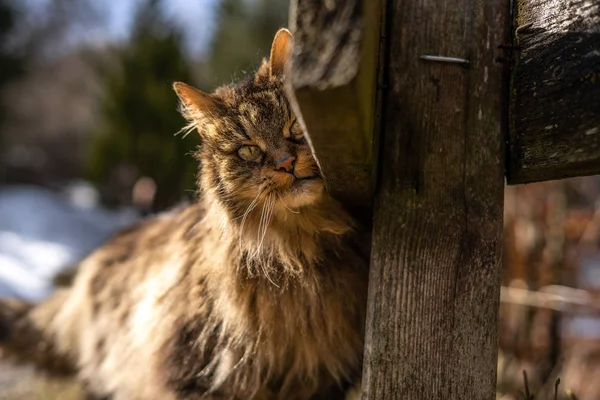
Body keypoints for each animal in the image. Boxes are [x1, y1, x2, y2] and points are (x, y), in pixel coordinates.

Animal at [0, 28, 368, 400]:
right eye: (248, 151)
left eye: (296, 128)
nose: (286, 163)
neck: (298, 256)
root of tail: (84, 277)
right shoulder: (194, 371)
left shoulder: (320, 378)